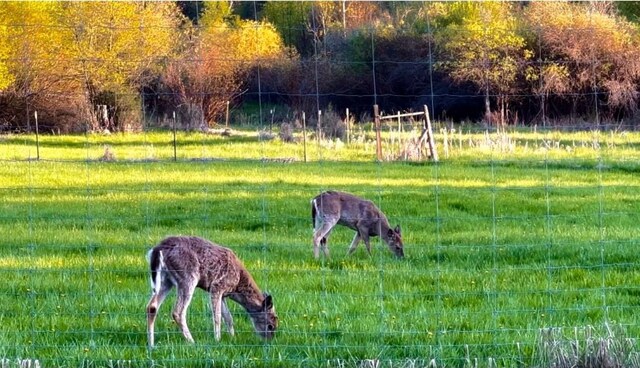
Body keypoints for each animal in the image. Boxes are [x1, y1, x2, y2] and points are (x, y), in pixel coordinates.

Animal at [146, 236, 278, 348]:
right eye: (270, 325)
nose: (269, 341)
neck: (237, 286)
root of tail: (158, 248)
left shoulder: (223, 294)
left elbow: (229, 317)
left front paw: (232, 337)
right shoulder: (216, 286)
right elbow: (217, 316)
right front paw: (217, 340)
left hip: (166, 280)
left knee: (151, 307)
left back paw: (151, 344)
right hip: (188, 276)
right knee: (177, 312)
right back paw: (192, 341)